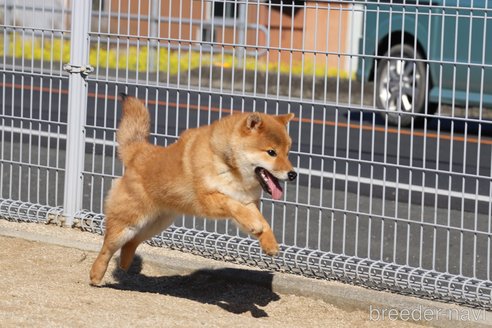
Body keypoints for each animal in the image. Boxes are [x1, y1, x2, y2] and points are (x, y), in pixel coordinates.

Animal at [89, 94, 296, 284]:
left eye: (287, 153)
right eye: (271, 152)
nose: (293, 174)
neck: (228, 165)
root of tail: (139, 152)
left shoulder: (247, 200)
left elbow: (263, 222)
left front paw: (269, 243)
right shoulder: (207, 199)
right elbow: (233, 205)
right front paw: (255, 226)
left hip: (156, 223)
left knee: (132, 243)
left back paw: (124, 264)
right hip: (128, 223)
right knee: (107, 248)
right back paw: (96, 275)